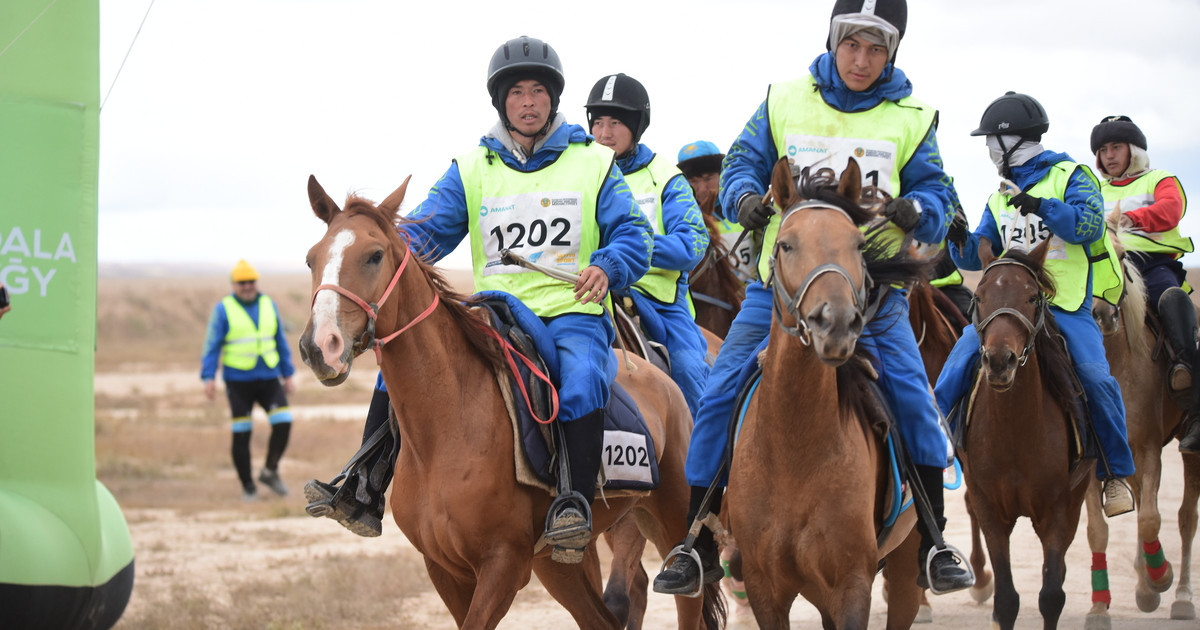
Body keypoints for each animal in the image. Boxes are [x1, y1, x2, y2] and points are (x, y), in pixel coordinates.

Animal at [300, 172, 720, 628]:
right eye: (311, 259)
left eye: (374, 256)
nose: (320, 346)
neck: (448, 425)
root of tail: (667, 384)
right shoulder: (444, 569)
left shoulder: (503, 565)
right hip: (560, 562)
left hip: (671, 521)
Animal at [715, 158, 921, 628]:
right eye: (786, 245)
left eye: (858, 246)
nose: (837, 323)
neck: (795, 451)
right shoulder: (765, 589)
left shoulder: (851, 586)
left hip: (903, 569)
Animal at [960, 237, 1094, 628]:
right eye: (980, 296)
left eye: (1033, 297)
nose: (999, 361)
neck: (1015, 433)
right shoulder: (990, 512)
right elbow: (1006, 600)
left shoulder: (1057, 513)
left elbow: (1051, 596)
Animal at [1084, 218, 1195, 624]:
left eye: (1119, 256)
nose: (1102, 314)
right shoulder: (1095, 461)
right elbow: (1097, 530)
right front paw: (1099, 608)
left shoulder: (1149, 450)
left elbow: (1151, 518)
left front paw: (1159, 579)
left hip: (1190, 449)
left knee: (1185, 517)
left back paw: (1180, 597)